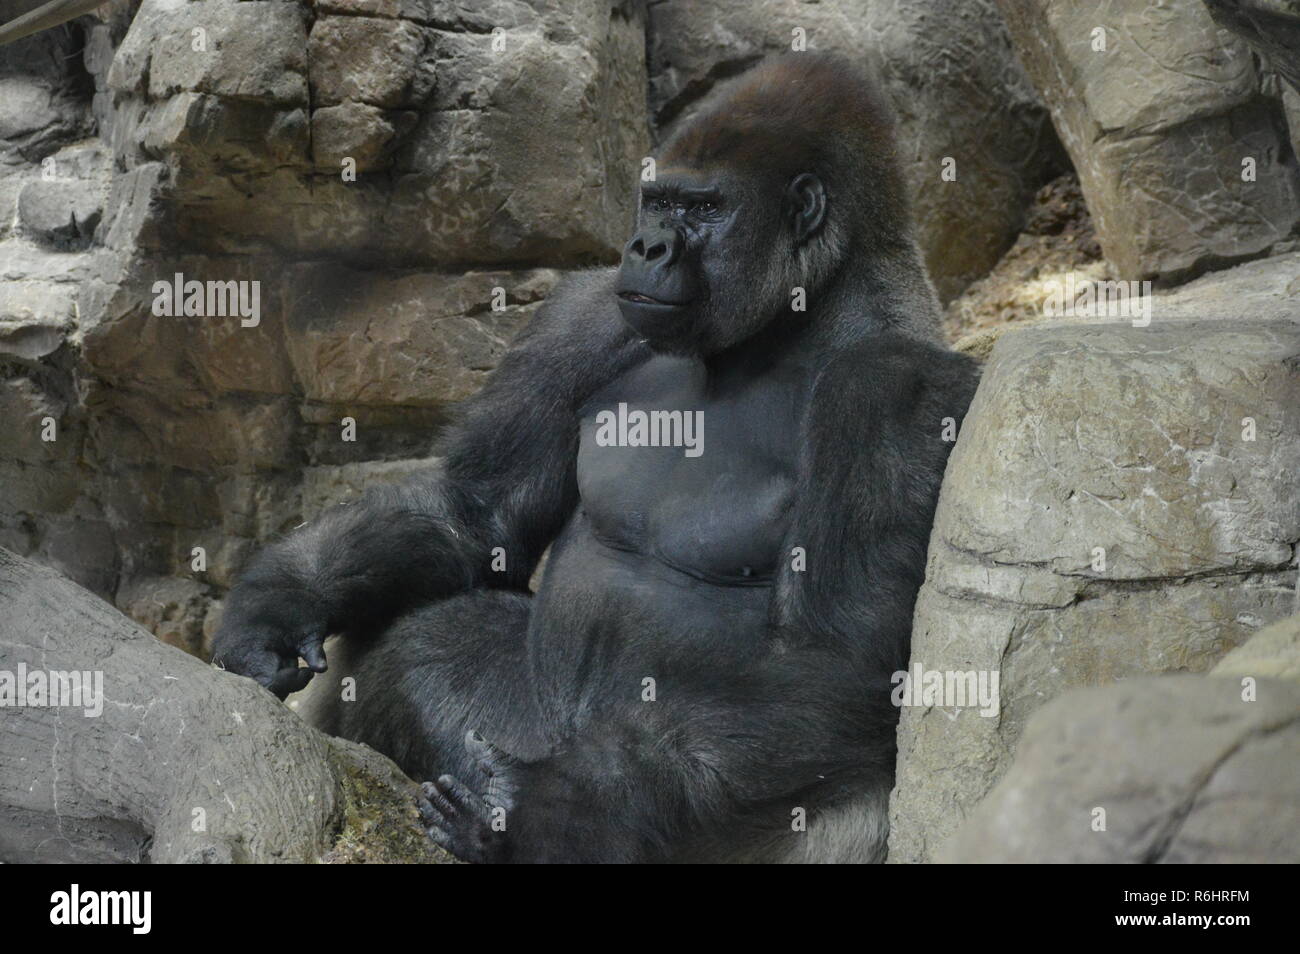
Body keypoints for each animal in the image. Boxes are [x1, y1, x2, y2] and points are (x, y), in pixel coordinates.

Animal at [213, 57, 977, 868]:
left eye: (705, 208)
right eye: (659, 200)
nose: (645, 247)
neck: (801, 316)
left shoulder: (896, 388)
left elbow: (833, 662)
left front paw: (538, 808)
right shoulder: (589, 315)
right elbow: (479, 511)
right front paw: (278, 602)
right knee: (419, 637)